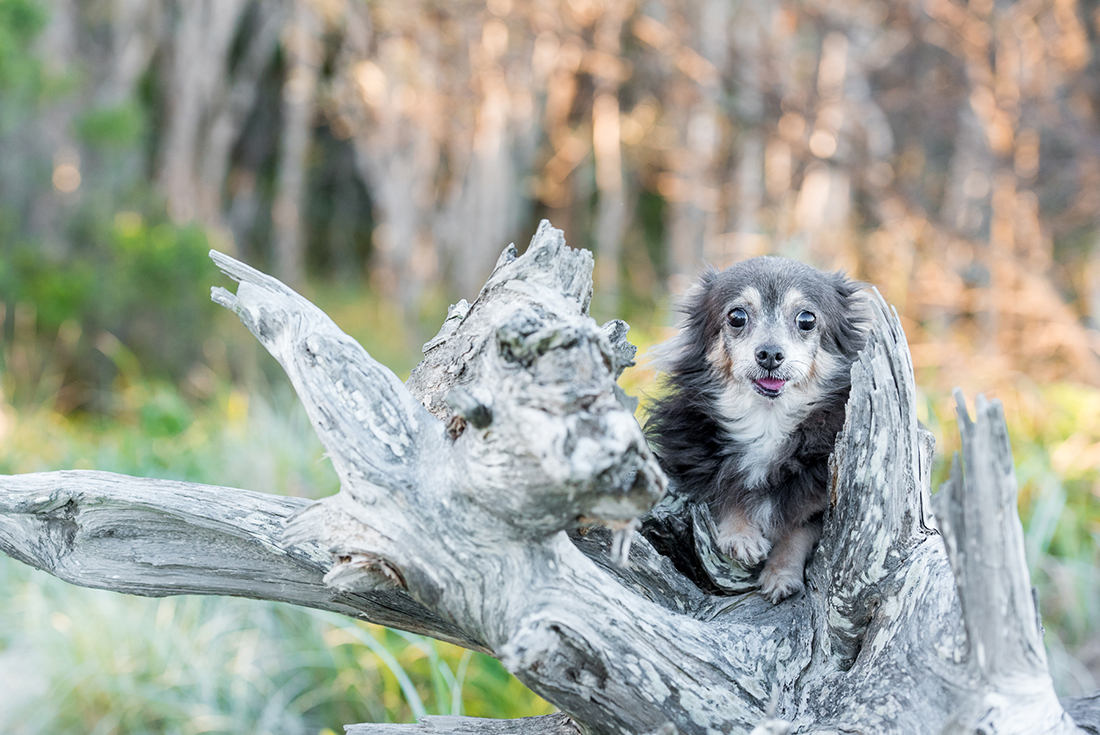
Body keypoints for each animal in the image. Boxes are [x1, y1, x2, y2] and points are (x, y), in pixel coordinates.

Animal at [642, 258, 866, 602]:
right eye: (737, 316)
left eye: (807, 319)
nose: (770, 354)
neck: (767, 422)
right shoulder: (695, 472)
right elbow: (726, 491)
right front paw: (742, 535)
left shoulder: (820, 499)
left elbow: (799, 527)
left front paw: (781, 573)